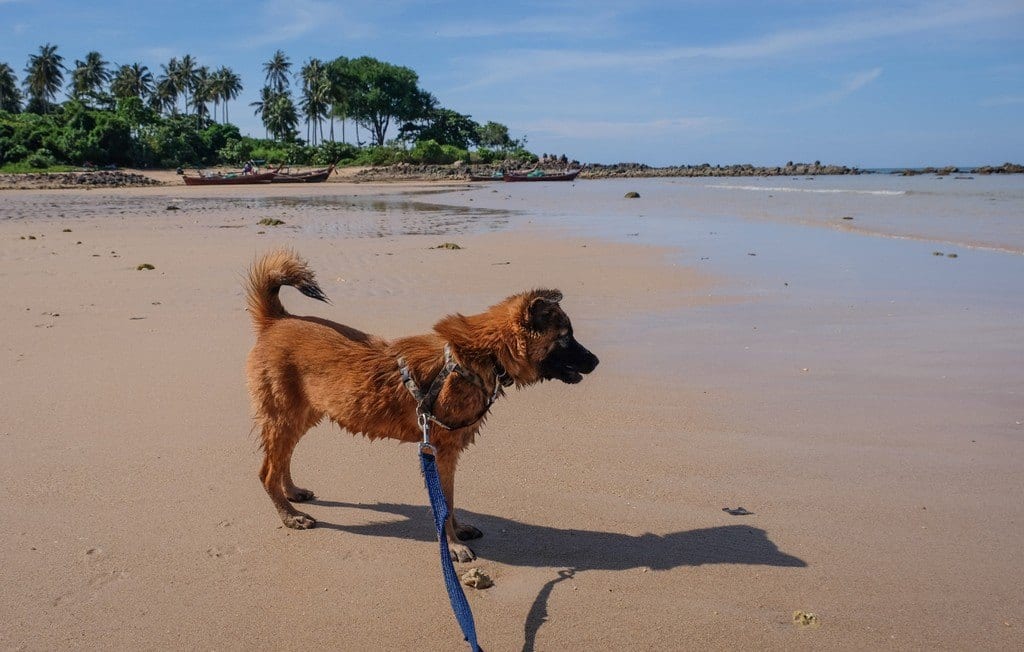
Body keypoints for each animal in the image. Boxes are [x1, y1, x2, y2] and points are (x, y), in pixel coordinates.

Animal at [243, 248, 598, 560]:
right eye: (565, 337)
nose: (596, 362)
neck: (477, 354)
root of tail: (277, 319)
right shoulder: (441, 452)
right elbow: (445, 504)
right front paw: (453, 546)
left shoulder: (446, 454)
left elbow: (449, 504)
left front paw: (457, 531)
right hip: (283, 416)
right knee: (266, 471)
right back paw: (289, 515)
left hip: (301, 415)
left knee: (281, 461)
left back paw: (292, 493)